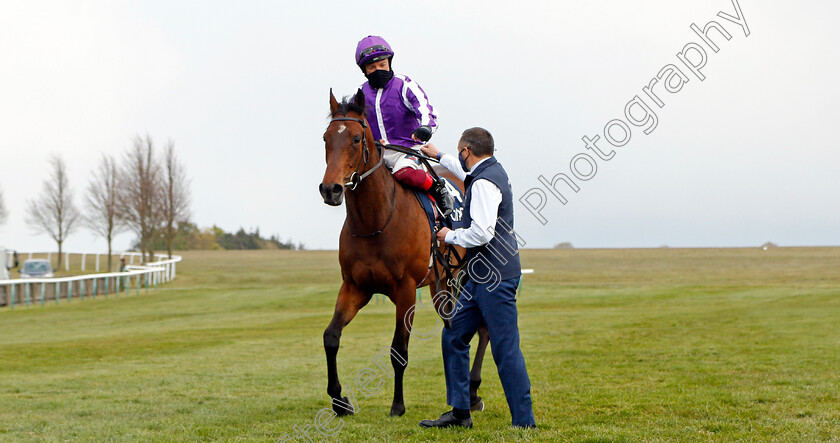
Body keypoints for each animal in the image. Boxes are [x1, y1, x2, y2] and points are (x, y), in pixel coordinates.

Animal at [322, 88, 492, 418]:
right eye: (326, 138)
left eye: (356, 139)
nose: (330, 189)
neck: (376, 221)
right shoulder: (355, 287)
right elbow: (331, 337)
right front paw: (339, 400)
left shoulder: (406, 290)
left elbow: (398, 350)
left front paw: (397, 405)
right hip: (443, 284)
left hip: (469, 274)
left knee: (482, 326)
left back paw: (473, 390)